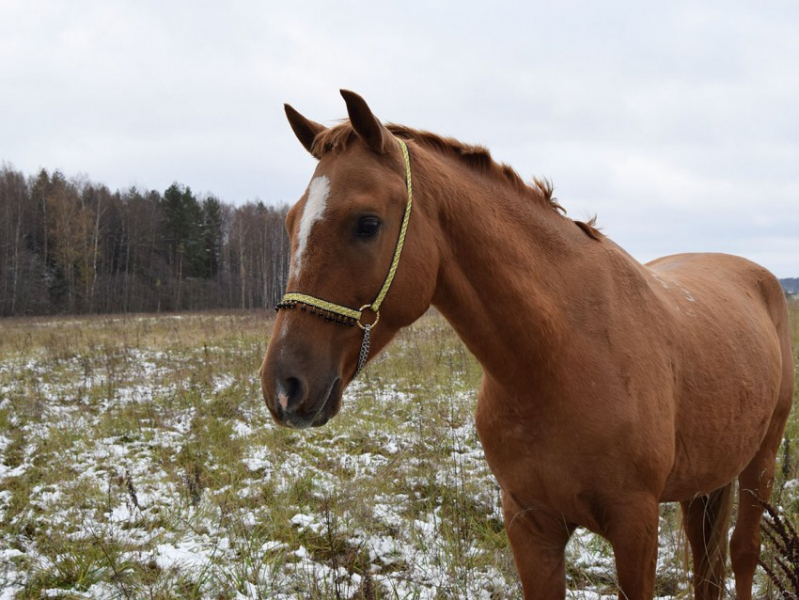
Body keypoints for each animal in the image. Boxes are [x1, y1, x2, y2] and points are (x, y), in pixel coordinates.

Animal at [260, 90, 792, 600]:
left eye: (367, 223)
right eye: (288, 223)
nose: (284, 386)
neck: (559, 358)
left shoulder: (635, 528)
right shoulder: (531, 526)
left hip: (760, 465)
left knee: (743, 555)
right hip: (705, 483)